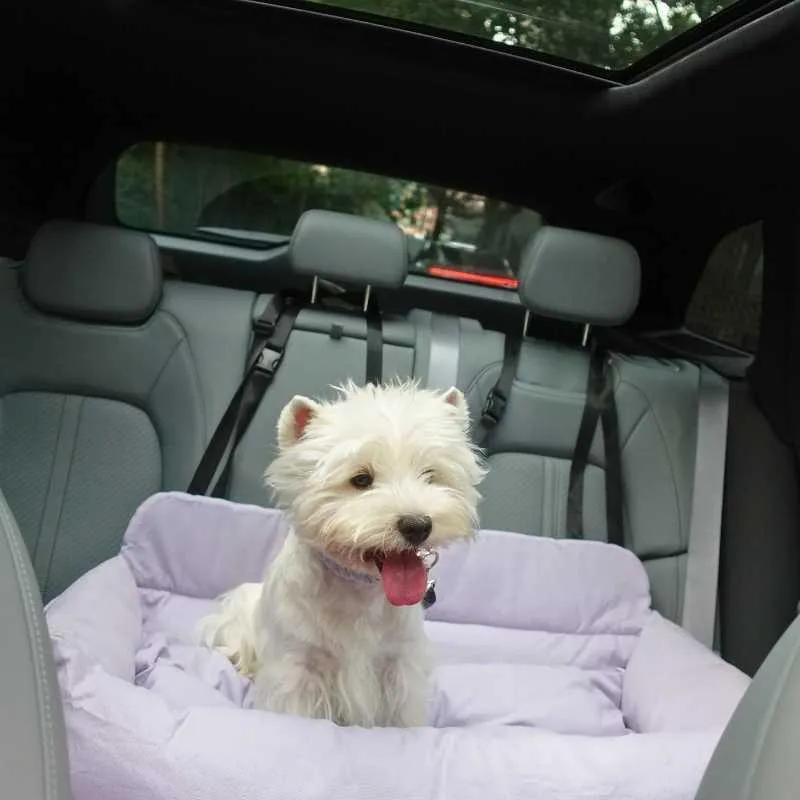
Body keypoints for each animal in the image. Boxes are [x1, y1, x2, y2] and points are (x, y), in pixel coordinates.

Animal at [197, 382, 484, 732]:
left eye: (430, 475)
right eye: (361, 479)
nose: (418, 526)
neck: (357, 591)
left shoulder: (399, 666)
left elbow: (403, 716)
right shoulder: (297, 669)